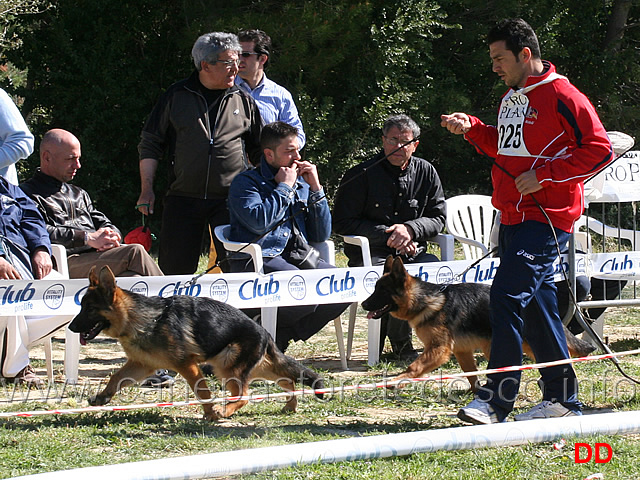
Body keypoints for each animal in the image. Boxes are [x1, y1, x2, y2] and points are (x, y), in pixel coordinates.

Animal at [69, 266, 324, 420]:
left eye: (89, 309)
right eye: (81, 307)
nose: (71, 327)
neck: (143, 319)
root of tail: (264, 331)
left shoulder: (186, 365)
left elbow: (201, 391)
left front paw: (210, 412)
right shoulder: (142, 365)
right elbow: (115, 378)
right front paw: (102, 397)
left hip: (227, 368)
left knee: (244, 395)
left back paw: (225, 411)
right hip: (249, 367)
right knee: (287, 379)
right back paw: (290, 406)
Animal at [362, 256, 596, 392]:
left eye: (381, 291)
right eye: (375, 289)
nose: (364, 304)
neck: (426, 300)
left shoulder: (438, 350)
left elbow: (415, 366)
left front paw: (398, 380)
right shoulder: (462, 352)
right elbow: (471, 375)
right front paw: (477, 393)